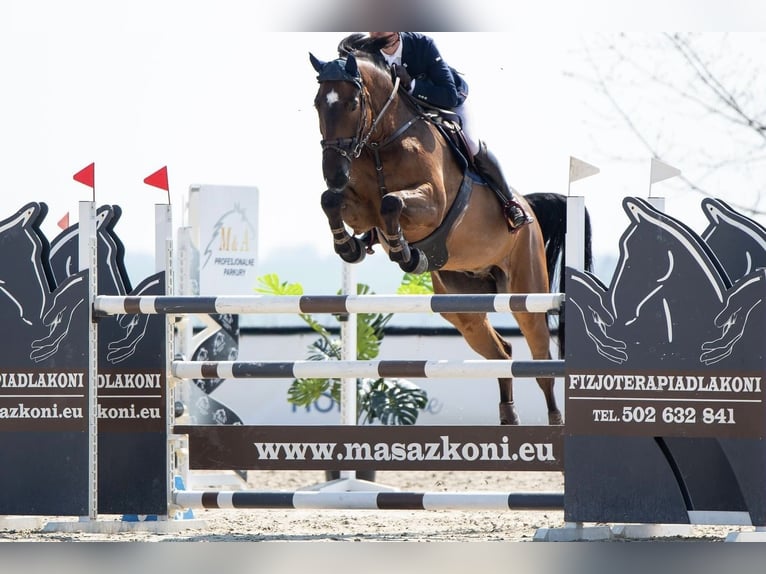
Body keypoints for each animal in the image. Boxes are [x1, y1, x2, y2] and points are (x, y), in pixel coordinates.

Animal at [308, 41, 592, 428]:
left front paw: (404, 252)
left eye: (352, 104)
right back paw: (508, 416)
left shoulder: (432, 204)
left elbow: (392, 202)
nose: (334, 173)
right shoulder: (361, 209)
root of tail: (530, 208)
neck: (382, 142)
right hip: (462, 305)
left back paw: (553, 420)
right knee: (502, 353)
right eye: (318, 104)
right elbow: (334, 202)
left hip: (526, 291)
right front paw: (350, 245)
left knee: (540, 361)